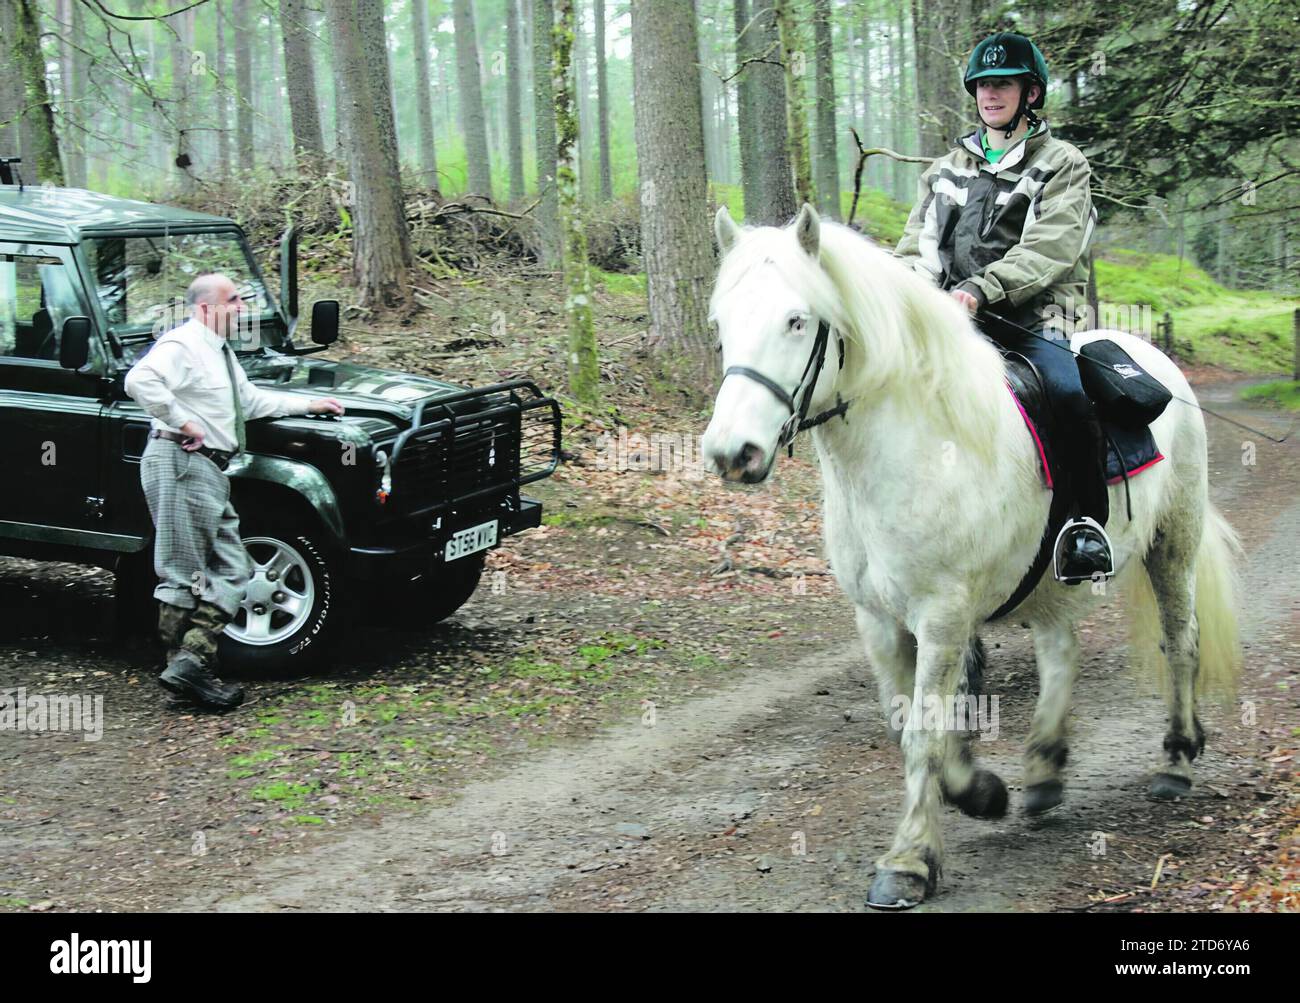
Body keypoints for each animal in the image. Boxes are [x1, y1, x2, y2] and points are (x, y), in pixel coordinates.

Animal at [702, 201, 1237, 909]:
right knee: (1060, 651)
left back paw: (1175, 760)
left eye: (796, 319)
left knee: (1180, 640)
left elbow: (925, 730)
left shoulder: (943, 614)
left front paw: (907, 861)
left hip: (1172, 544)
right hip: (1054, 579)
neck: (912, 447)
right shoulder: (880, 619)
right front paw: (979, 792)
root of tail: (1160, 365)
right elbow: (913, 720)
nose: (731, 453)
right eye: (722, 325)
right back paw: (1044, 769)